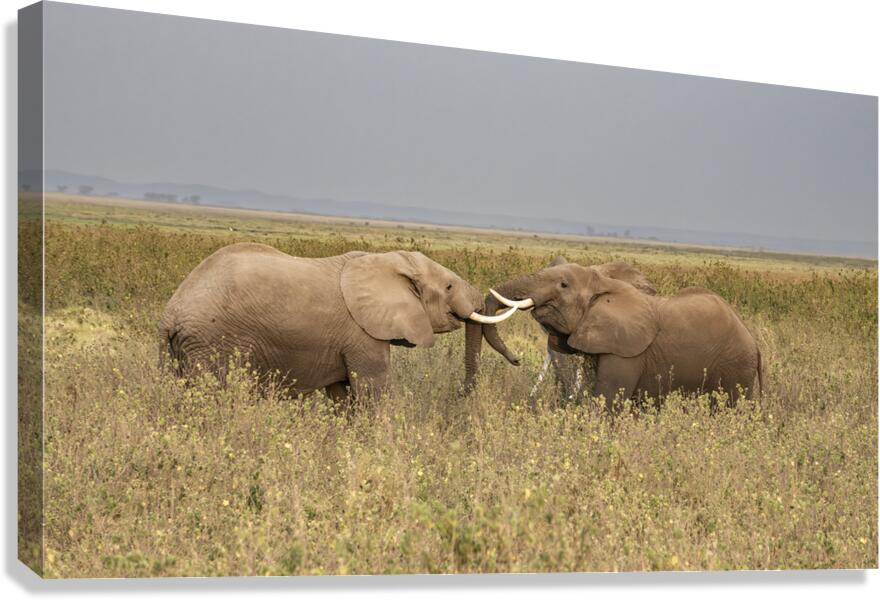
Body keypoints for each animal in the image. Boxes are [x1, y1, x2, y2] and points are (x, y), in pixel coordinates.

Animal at [159, 243, 515, 401]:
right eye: (449, 287)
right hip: (211, 342)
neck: (384, 260)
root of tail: (171, 314)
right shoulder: (361, 333)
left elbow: (342, 395)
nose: (517, 361)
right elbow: (372, 391)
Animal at [470, 259, 762, 409]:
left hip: (736, 365)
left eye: (563, 285)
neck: (604, 284)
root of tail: (755, 344)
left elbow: (608, 396)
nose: (516, 359)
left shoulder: (628, 349)